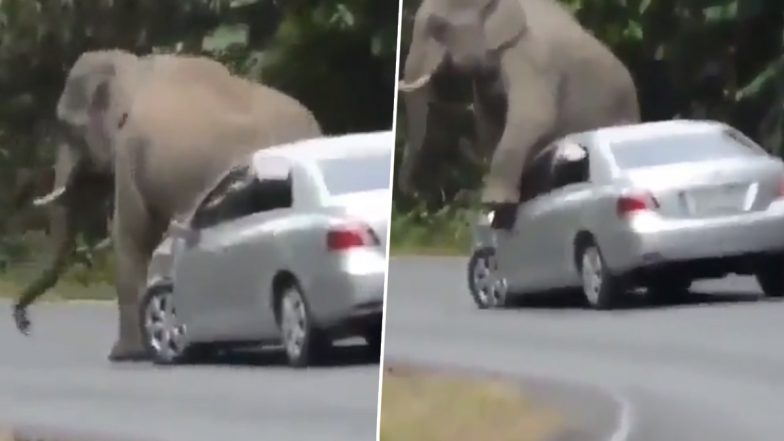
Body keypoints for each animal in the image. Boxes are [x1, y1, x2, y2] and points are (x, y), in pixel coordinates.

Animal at [25, 50, 322, 360]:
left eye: (67, 128)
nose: (24, 323)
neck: (132, 68)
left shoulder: (129, 151)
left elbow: (131, 233)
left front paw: (125, 354)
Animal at [402, 0, 640, 220]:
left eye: (438, 28)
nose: (417, 200)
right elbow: (490, 124)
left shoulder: (531, 58)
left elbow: (535, 118)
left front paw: (496, 203)